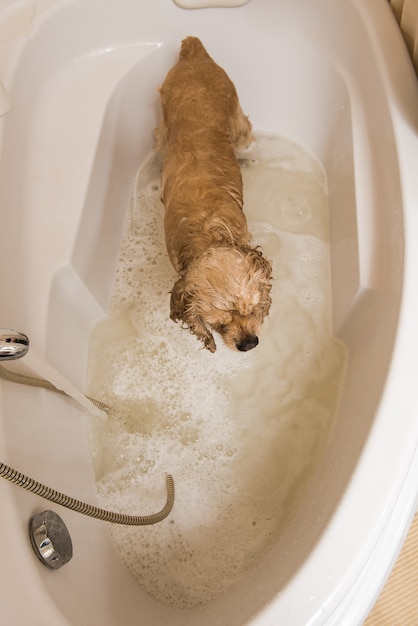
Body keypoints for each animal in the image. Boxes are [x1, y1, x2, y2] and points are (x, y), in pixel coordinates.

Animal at [155, 37, 272, 352]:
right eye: (220, 323)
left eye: (251, 309)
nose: (249, 344)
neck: (207, 235)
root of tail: (193, 52)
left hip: (237, 120)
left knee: (247, 136)